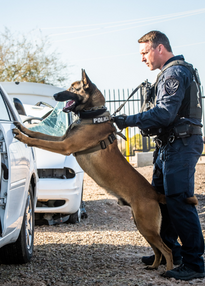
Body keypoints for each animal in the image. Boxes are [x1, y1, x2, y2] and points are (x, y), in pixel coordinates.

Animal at [13, 70, 175, 272]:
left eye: (73, 88)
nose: (55, 95)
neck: (92, 115)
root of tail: (154, 193)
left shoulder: (65, 146)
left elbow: (39, 140)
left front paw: (23, 137)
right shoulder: (62, 139)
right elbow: (39, 134)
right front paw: (23, 127)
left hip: (147, 226)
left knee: (167, 249)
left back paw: (169, 271)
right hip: (143, 226)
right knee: (157, 249)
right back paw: (153, 266)